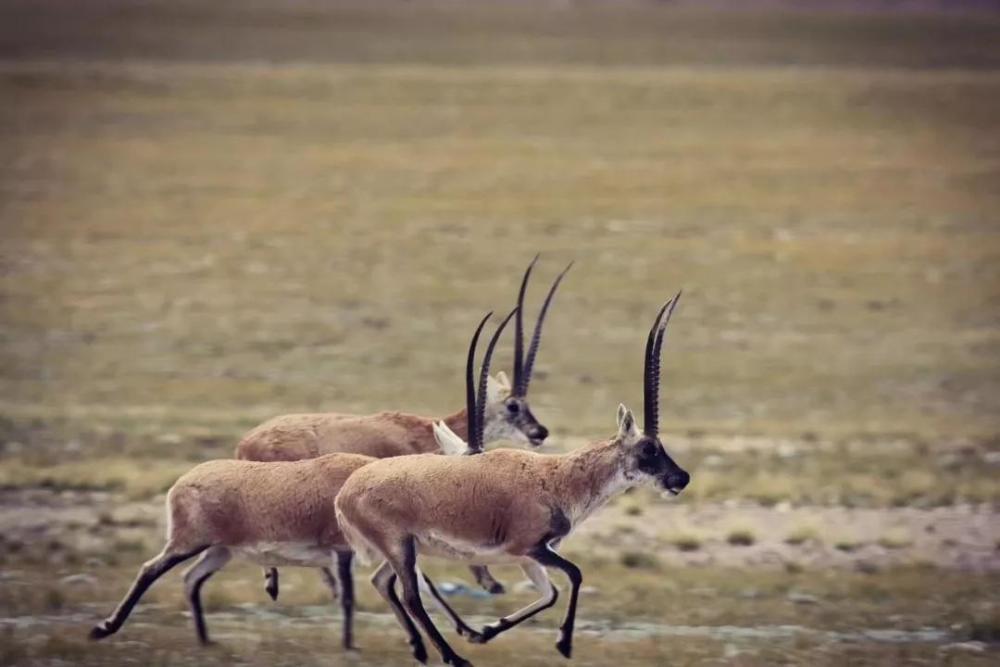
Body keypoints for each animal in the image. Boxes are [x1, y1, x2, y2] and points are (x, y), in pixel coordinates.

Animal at [88, 310, 516, 656]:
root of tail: (183, 482)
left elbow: (418, 586)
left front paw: (465, 633)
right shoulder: (345, 550)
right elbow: (355, 595)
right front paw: (351, 644)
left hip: (220, 551)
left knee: (191, 579)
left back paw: (206, 639)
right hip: (189, 542)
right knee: (150, 569)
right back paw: (105, 628)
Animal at [334, 294, 688, 667]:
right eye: (648, 448)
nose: (681, 478)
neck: (557, 477)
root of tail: (345, 493)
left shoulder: (528, 556)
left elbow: (550, 593)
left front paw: (485, 631)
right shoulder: (531, 547)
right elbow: (575, 574)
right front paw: (564, 643)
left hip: (404, 550)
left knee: (385, 583)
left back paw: (427, 648)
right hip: (400, 547)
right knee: (411, 594)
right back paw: (454, 657)